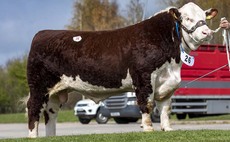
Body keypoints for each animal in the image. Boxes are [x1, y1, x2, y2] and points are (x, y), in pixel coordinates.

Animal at [26, 2, 217, 138]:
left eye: (204, 17)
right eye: (187, 19)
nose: (207, 32)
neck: (172, 62)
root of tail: (43, 34)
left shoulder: (166, 83)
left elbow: (165, 107)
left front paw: (167, 128)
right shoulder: (143, 78)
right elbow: (147, 103)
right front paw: (148, 129)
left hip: (56, 91)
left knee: (51, 113)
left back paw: (51, 137)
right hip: (38, 86)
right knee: (34, 108)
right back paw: (33, 136)